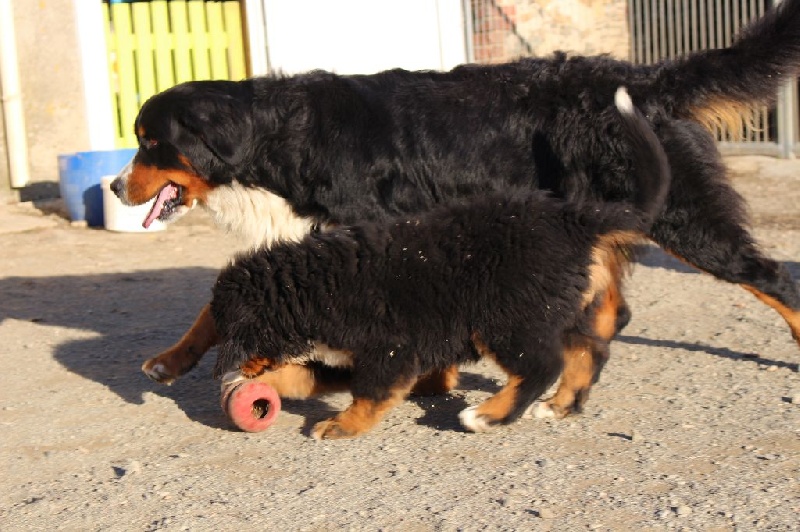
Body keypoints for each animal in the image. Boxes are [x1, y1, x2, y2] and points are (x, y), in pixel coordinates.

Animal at [209, 88, 670, 439]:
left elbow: (369, 394)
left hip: (506, 317)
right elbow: (300, 375)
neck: (315, 288)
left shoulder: (389, 349)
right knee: (589, 350)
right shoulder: (346, 356)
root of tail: (574, 219)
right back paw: (560, 405)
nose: (220, 374)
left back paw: (487, 416)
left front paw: (341, 426)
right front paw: (262, 385)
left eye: (232, 333)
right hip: (557, 308)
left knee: (543, 364)